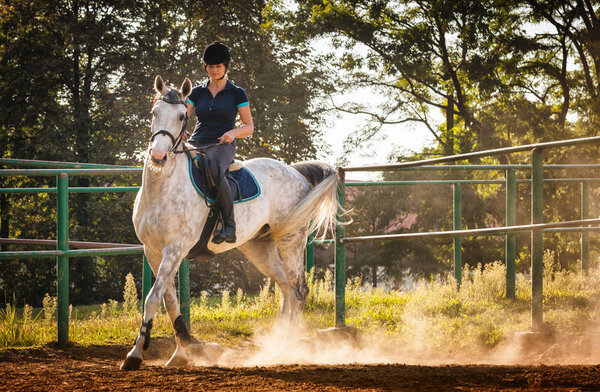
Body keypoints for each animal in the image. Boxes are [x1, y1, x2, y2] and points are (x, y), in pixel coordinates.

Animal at [120, 77, 342, 370]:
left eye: (181, 116)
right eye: (154, 113)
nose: (158, 156)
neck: (162, 188)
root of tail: (294, 171)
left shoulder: (175, 249)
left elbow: (152, 299)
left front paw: (135, 355)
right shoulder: (153, 250)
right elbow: (169, 302)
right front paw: (183, 350)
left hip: (291, 240)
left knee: (299, 290)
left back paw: (283, 351)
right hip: (259, 247)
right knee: (285, 289)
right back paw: (274, 346)